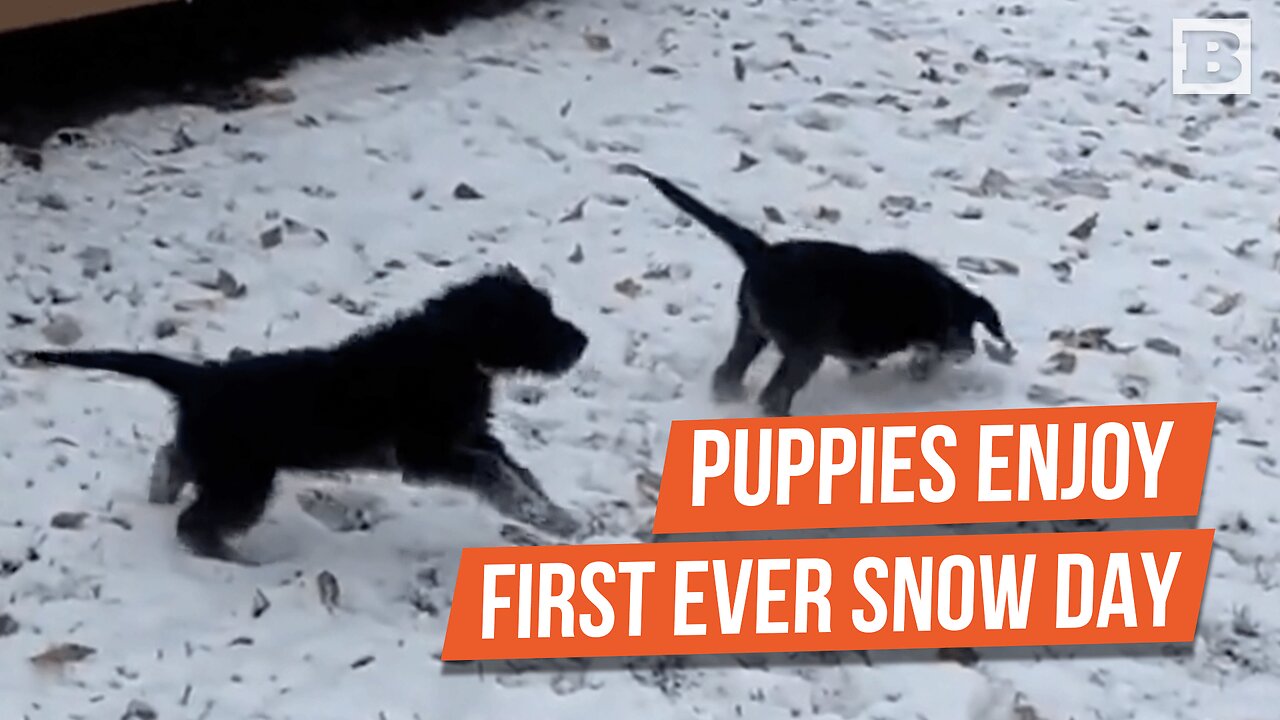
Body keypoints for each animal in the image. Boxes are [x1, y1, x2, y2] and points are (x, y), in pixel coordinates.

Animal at [17, 263, 586, 561]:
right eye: (535, 319)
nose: (581, 341)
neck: (453, 345)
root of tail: (200, 379)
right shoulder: (428, 453)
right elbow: (496, 473)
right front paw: (544, 516)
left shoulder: (469, 437)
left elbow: (517, 470)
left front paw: (558, 517)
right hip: (243, 480)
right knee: (193, 523)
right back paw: (233, 559)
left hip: (219, 462)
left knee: (171, 458)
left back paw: (161, 492)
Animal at [632, 167, 1008, 415]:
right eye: (962, 327)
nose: (968, 350)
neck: (938, 296)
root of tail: (764, 254)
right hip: (805, 349)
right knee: (774, 394)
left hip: (752, 327)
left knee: (728, 371)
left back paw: (729, 397)